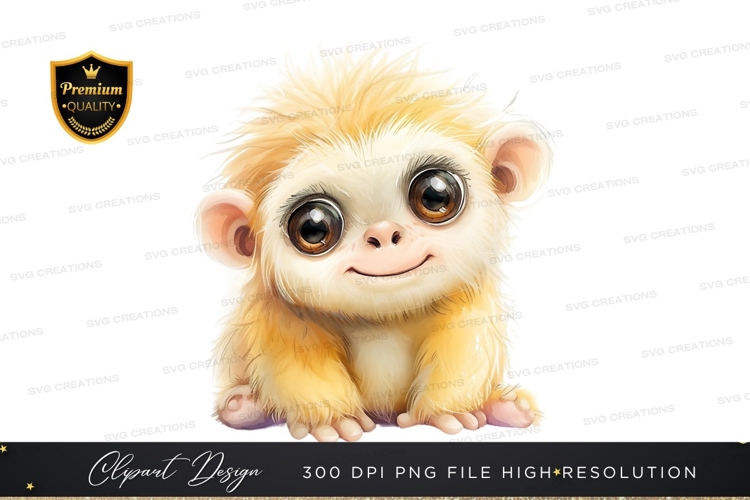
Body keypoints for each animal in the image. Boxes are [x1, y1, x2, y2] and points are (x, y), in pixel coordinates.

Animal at [197, 51, 552, 442]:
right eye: (313, 227)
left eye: (435, 195)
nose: (383, 234)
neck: (385, 317)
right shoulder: (277, 314)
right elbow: (294, 362)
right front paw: (334, 420)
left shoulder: (470, 300)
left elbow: (465, 347)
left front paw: (449, 414)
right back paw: (243, 407)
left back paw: (507, 408)